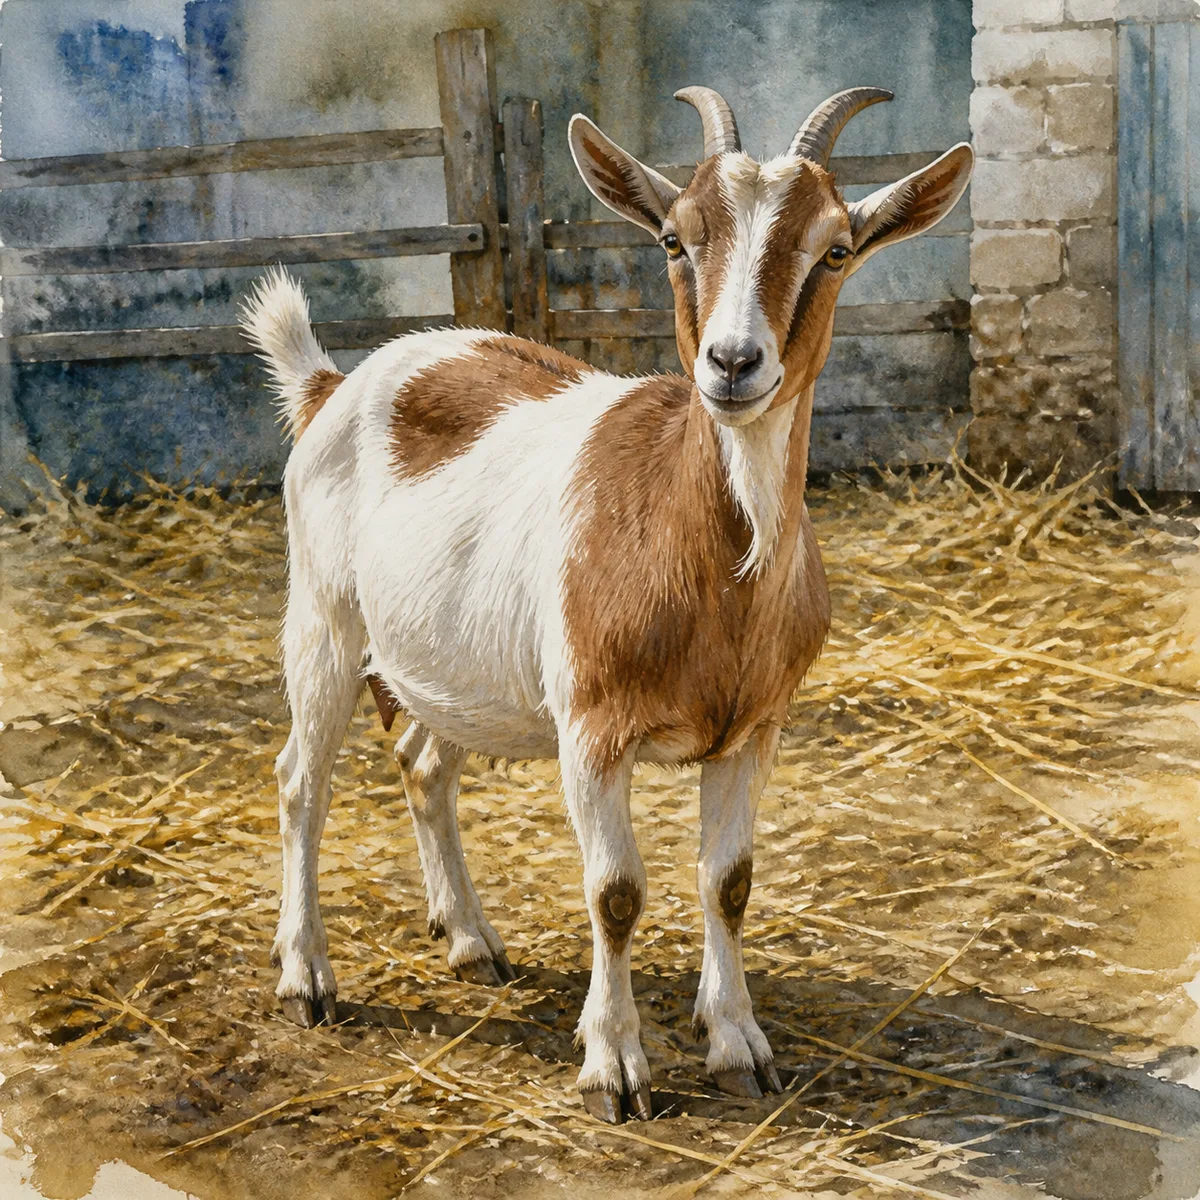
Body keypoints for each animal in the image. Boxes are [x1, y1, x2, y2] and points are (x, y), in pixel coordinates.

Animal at [241, 85, 972, 1124]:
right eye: (674, 237)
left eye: (835, 249)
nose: (733, 363)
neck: (714, 570)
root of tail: (333, 383)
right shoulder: (590, 728)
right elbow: (616, 893)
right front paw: (616, 1066)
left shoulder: (756, 728)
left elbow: (729, 882)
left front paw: (737, 1044)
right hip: (324, 616)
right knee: (301, 779)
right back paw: (306, 978)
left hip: (449, 663)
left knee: (424, 764)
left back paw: (470, 941)